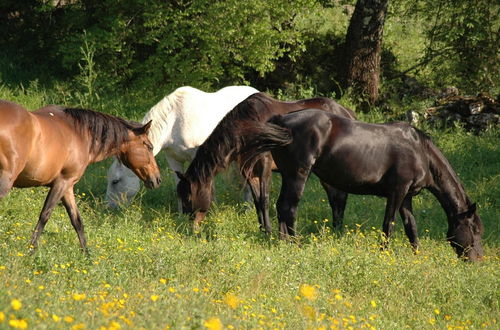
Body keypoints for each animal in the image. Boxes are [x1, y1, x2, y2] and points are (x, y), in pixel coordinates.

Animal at [0, 99, 160, 251]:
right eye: (149, 147)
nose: (157, 179)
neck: (79, 134)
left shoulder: (67, 187)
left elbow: (77, 221)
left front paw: (87, 255)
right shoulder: (62, 182)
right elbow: (45, 215)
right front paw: (31, 250)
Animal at [105, 85, 258, 209]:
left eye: (115, 181)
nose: (109, 207)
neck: (174, 122)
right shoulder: (173, 159)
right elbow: (179, 185)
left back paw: (248, 208)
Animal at [176, 91, 356, 233]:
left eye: (188, 198)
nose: (191, 228)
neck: (250, 128)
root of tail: (347, 112)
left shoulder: (264, 168)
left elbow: (264, 200)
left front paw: (268, 231)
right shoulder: (249, 171)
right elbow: (257, 201)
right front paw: (262, 229)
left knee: (337, 199)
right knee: (337, 198)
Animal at [240, 109, 482, 262]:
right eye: (475, 230)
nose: (477, 260)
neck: (419, 151)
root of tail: (282, 119)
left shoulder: (406, 196)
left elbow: (411, 228)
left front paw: (417, 256)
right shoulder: (397, 192)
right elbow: (389, 225)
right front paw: (385, 254)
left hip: (289, 176)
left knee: (281, 207)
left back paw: (282, 243)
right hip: (298, 175)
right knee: (289, 209)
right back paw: (295, 245)